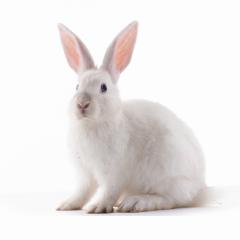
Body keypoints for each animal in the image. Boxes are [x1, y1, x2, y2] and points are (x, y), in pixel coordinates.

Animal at [56, 21, 204, 213]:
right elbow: (83, 191)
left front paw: (97, 207)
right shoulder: (84, 173)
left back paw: (136, 202)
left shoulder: (114, 172)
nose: (82, 104)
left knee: (172, 198)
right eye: (76, 86)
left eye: (103, 87)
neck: (91, 125)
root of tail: (199, 187)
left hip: (166, 171)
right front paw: (67, 204)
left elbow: (109, 191)